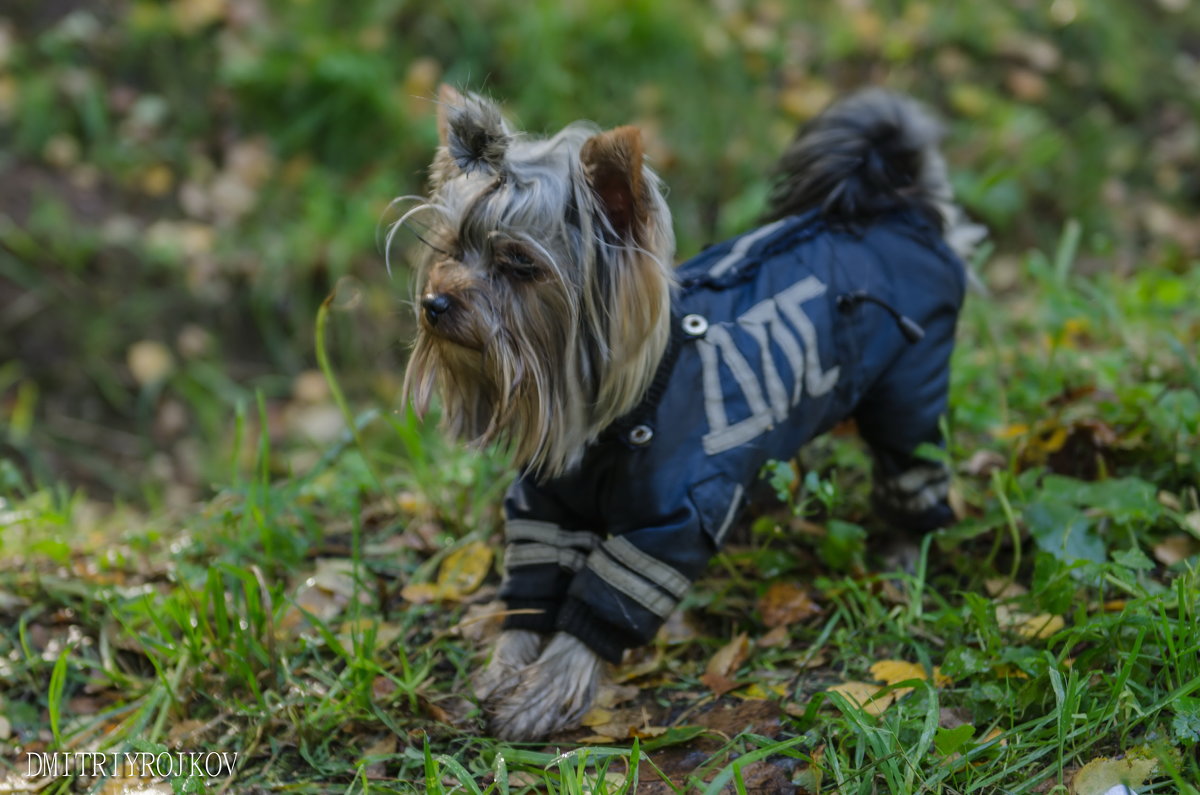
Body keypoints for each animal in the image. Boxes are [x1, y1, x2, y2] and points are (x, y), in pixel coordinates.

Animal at [403, 85, 984, 739]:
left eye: (522, 265)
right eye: (453, 248)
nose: (435, 303)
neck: (611, 422)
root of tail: (900, 212)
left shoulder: (671, 527)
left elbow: (605, 603)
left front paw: (545, 693)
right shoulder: (545, 507)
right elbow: (531, 585)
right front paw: (504, 670)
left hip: (909, 390)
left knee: (913, 467)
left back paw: (906, 553)